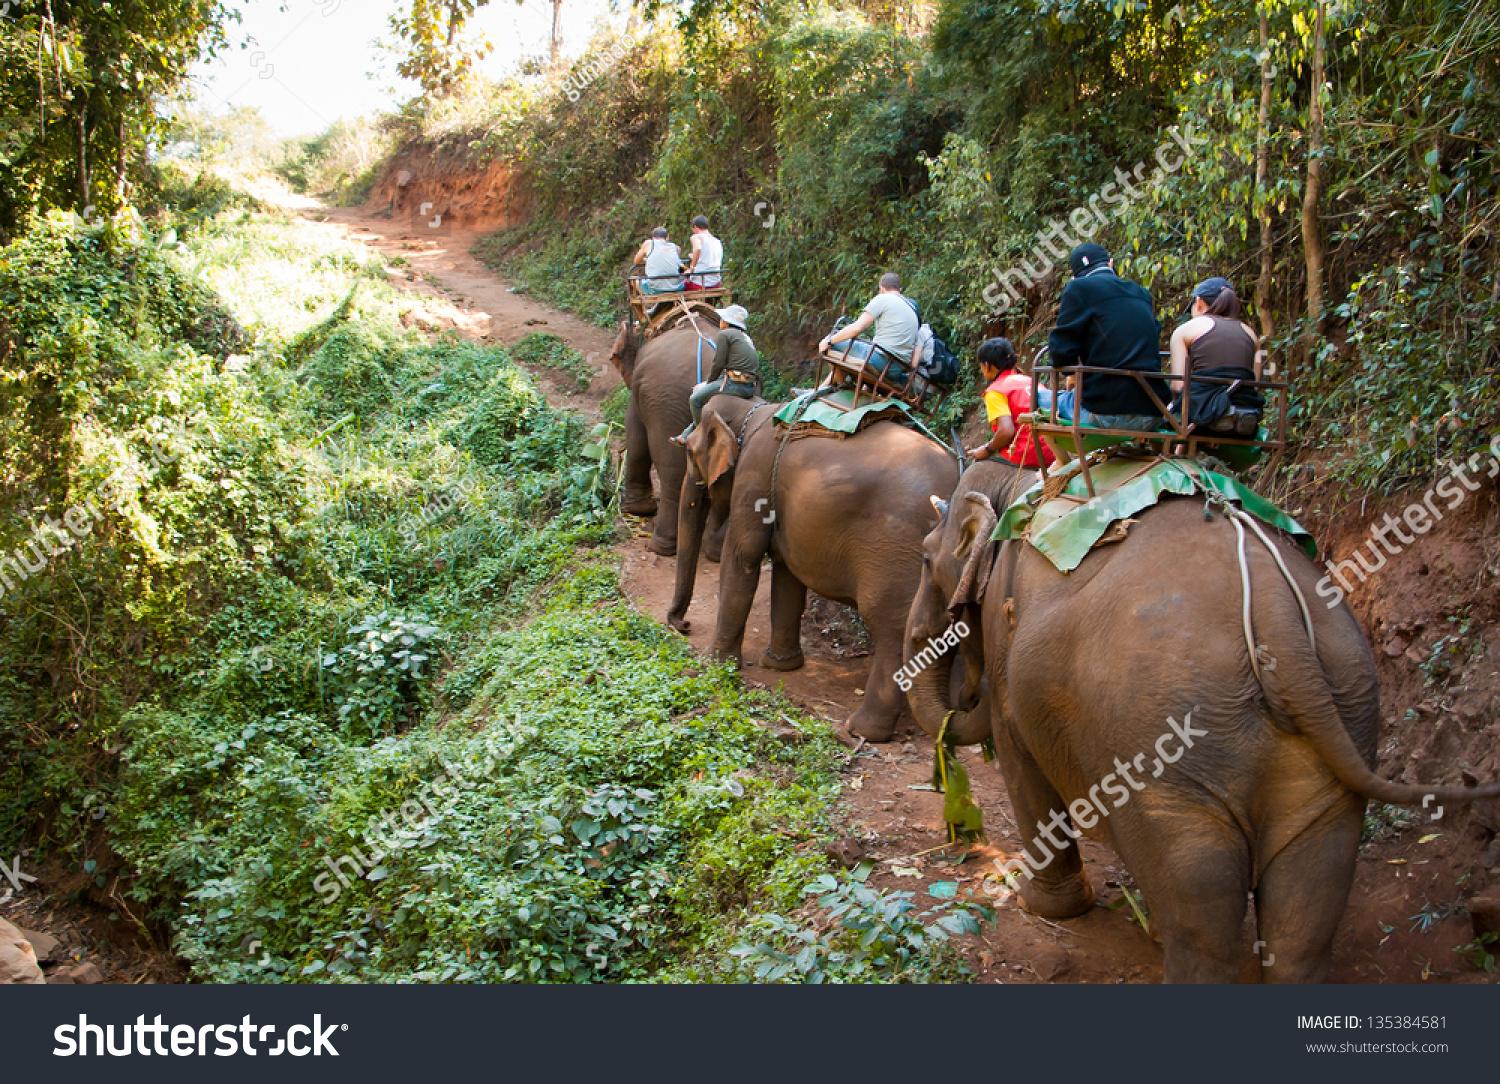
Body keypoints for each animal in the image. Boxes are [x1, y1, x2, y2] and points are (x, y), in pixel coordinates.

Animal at [672, 395, 954, 740]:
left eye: (688, 452)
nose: (683, 625)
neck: (752, 409)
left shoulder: (754, 473)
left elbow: (743, 555)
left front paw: (715, 665)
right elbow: (786, 573)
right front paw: (780, 666)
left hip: (898, 551)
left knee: (891, 627)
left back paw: (862, 730)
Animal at [900, 458, 1500, 983]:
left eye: (926, 560)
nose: (961, 700)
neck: (1016, 481)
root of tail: (1278, 617)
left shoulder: (1008, 668)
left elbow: (1021, 764)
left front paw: (1042, 907)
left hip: (1162, 751)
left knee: (1201, 916)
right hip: (1344, 717)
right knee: (1306, 913)